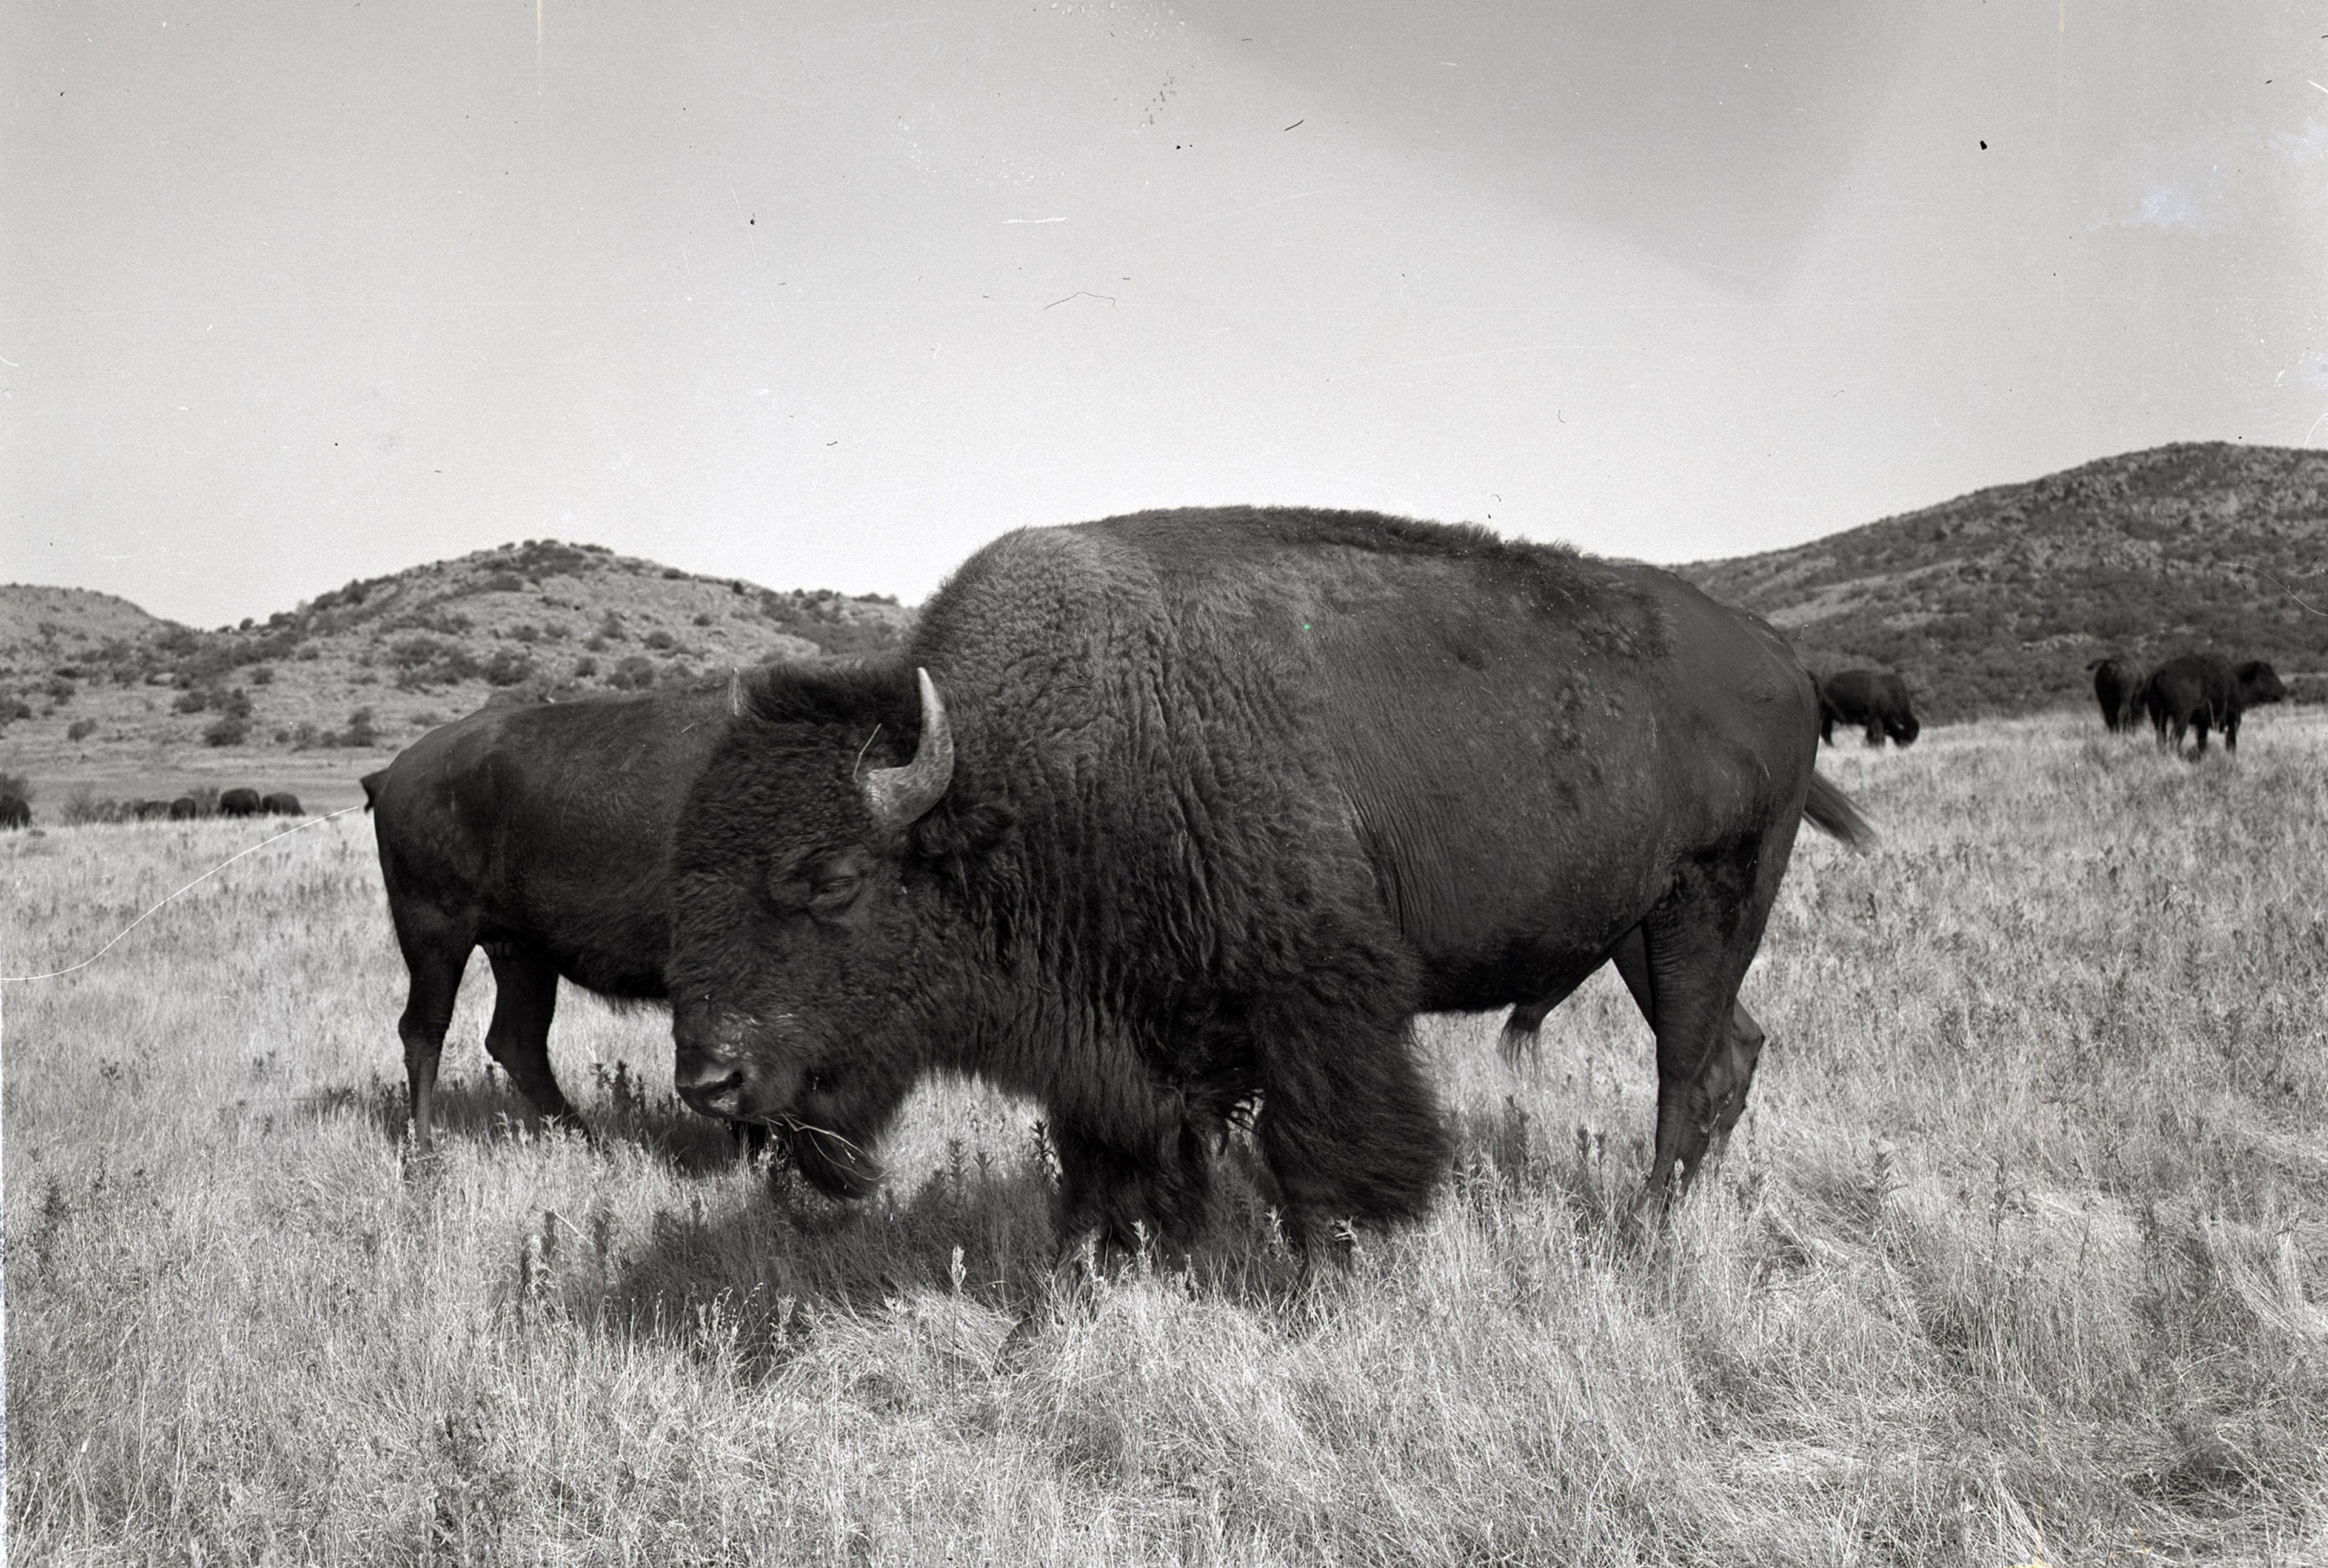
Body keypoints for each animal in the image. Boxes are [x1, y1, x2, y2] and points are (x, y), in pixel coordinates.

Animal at [366, 686, 742, 1147]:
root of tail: (400, 768)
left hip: (519, 952)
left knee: (516, 1041)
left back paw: (591, 1142)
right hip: (435, 938)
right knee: (425, 1030)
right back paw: (424, 1152)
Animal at [666, 507, 1872, 1264]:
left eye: (830, 878)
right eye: (688, 869)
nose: (708, 1076)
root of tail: (1785, 658)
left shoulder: (1321, 1004)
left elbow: (1327, 1159)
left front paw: (1330, 1275)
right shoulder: (1113, 1049)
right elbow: (1108, 1172)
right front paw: (1099, 1274)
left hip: (1707, 907)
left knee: (1686, 1070)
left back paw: (1645, 1231)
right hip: (1641, 932)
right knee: (1730, 1051)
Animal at [1816, 669, 1920, 747]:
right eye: (1906, 734)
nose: (1905, 746)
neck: (1890, 694)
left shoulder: (1873, 722)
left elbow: (1871, 735)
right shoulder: (1876, 718)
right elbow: (1878, 736)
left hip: (1829, 717)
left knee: (1826, 732)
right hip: (1825, 715)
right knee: (1825, 732)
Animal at [2142, 654, 2286, 757]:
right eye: (2267, 674)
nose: (2283, 690)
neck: (2238, 679)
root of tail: (2162, 671)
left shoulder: (2203, 725)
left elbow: (2202, 743)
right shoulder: (2234, 721)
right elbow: (2231, 743)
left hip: (2159, 717)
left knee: (2161, 738)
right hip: (2181, 718)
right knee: (2175, 739)